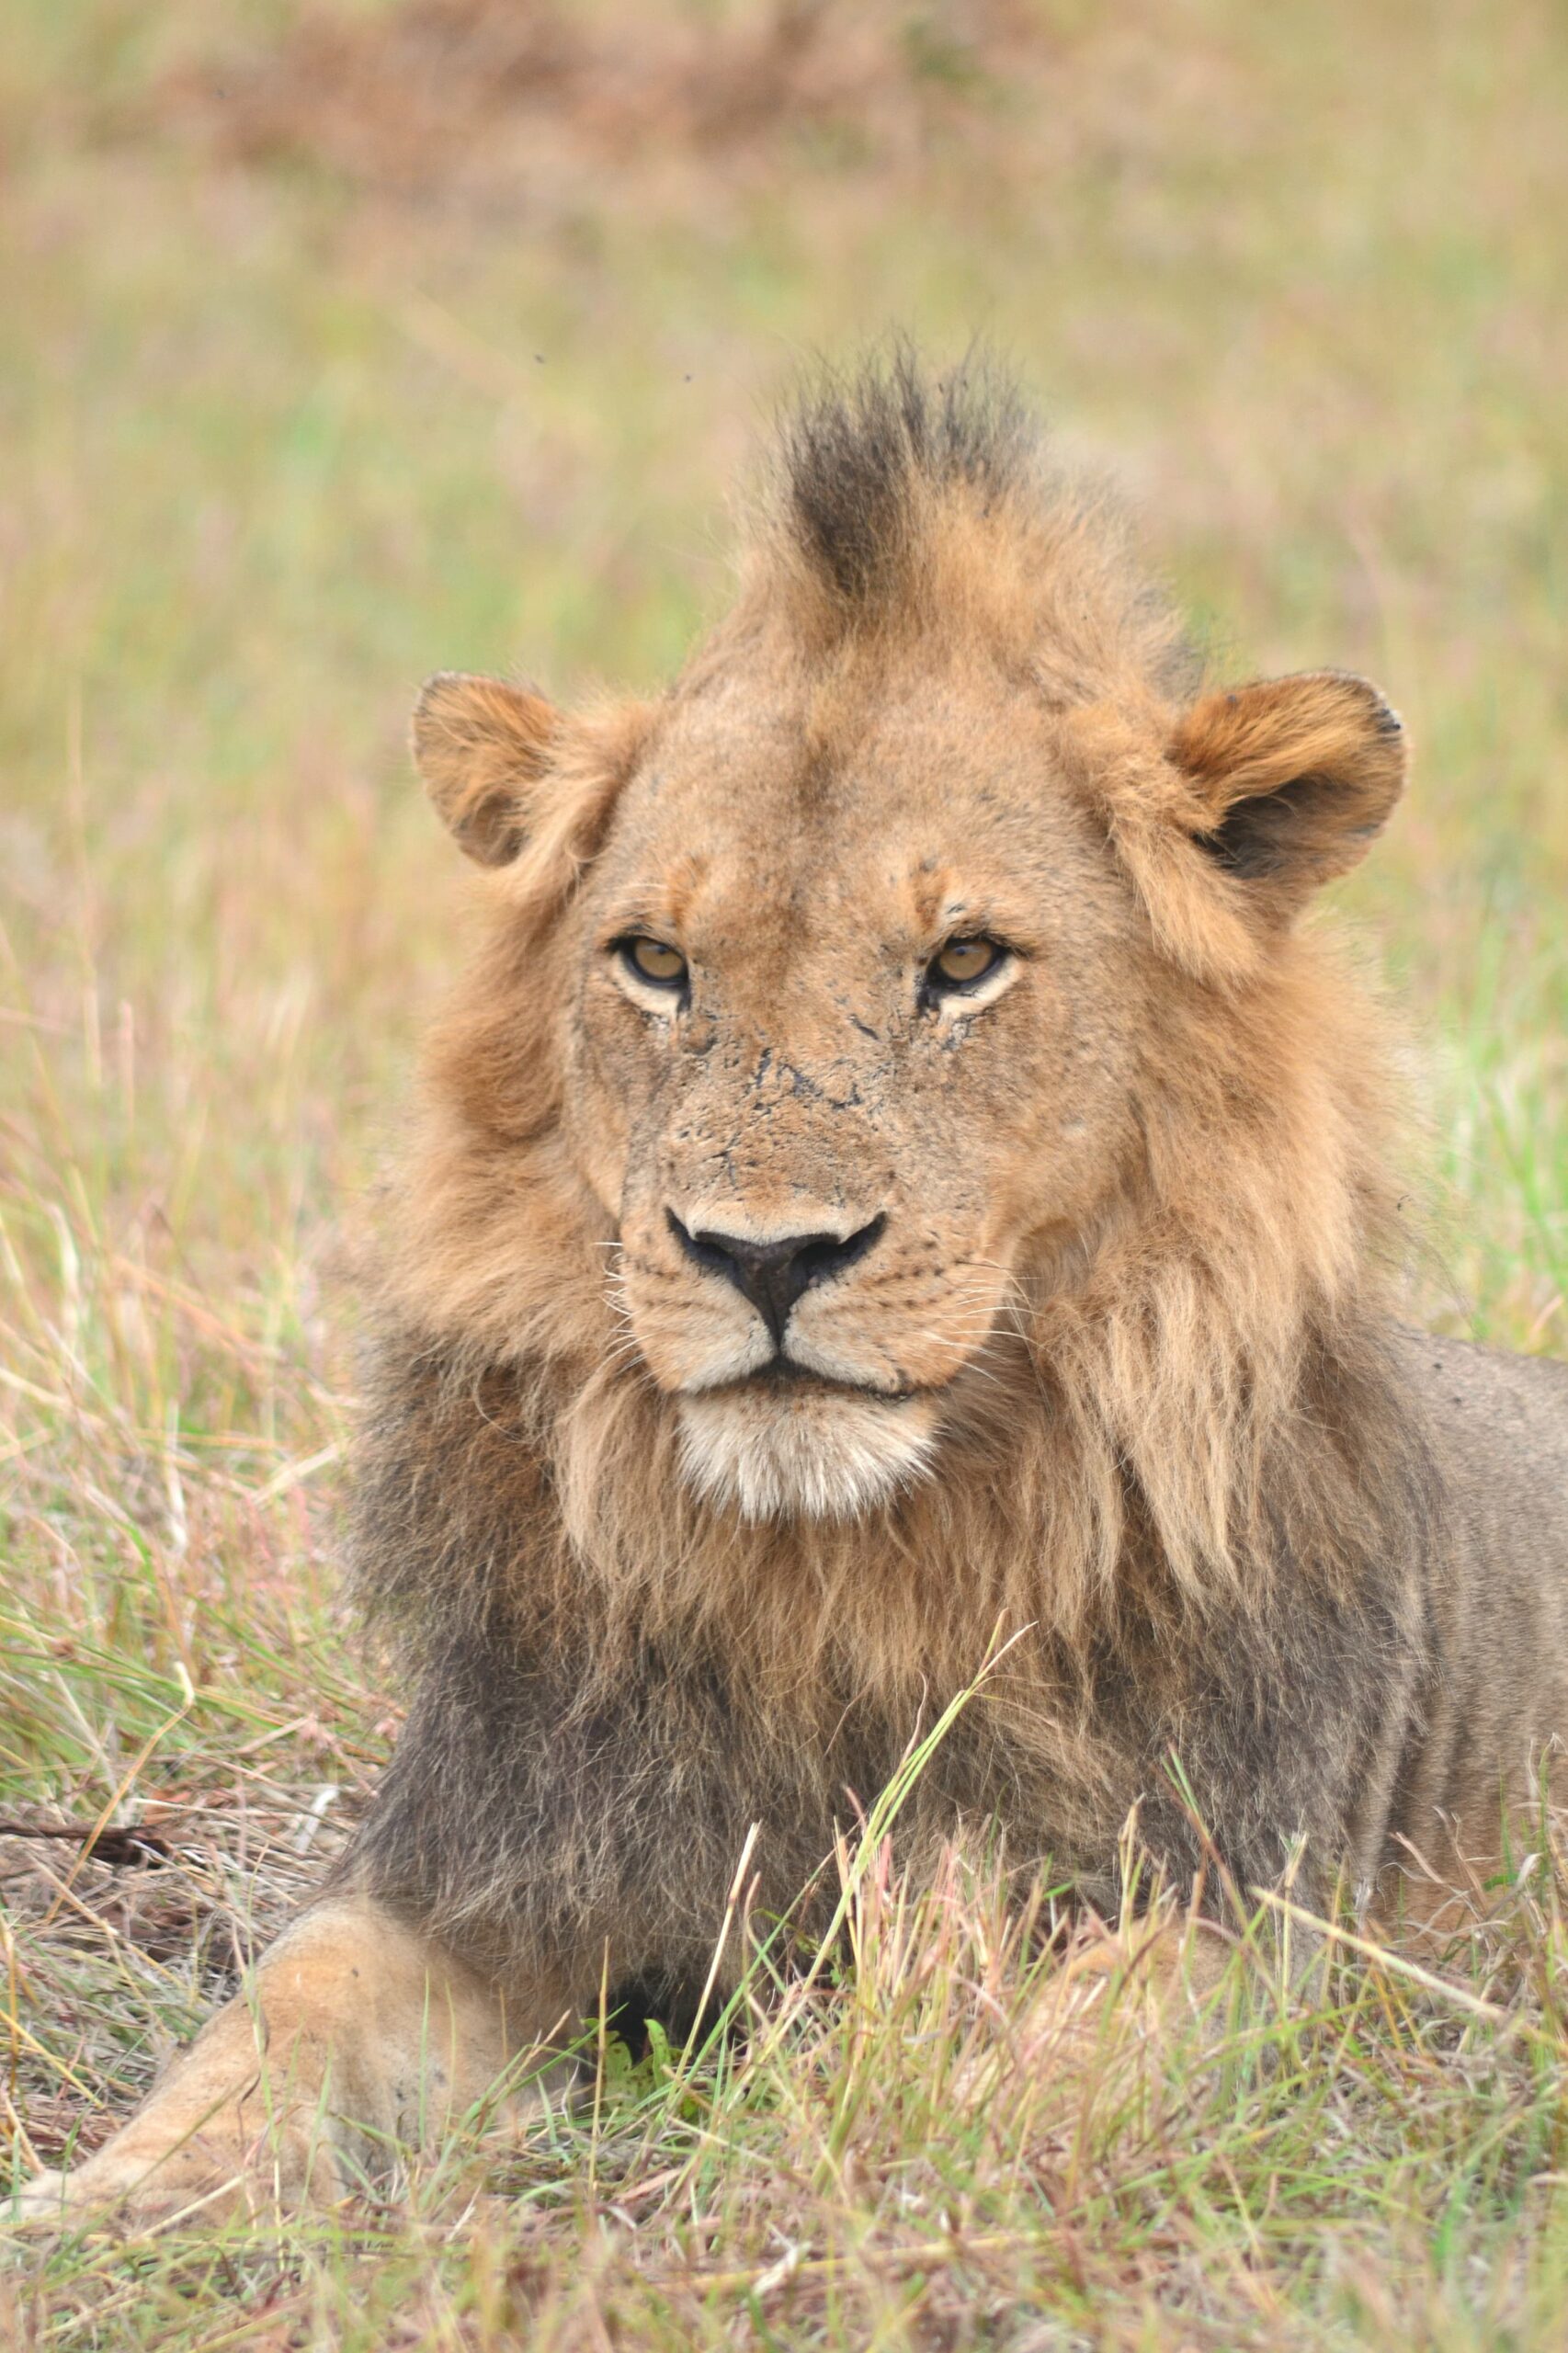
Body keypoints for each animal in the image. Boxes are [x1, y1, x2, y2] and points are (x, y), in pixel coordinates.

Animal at [18, 353, 1568, 2226]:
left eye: (962, 960)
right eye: (655, 961)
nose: (764, 1255)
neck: (831, 1583)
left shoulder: (1248, 1906)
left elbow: (1080, 2045)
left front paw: (913, 2171)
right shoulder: (472, 1867)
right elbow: (281, 2011)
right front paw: (119, 2201)